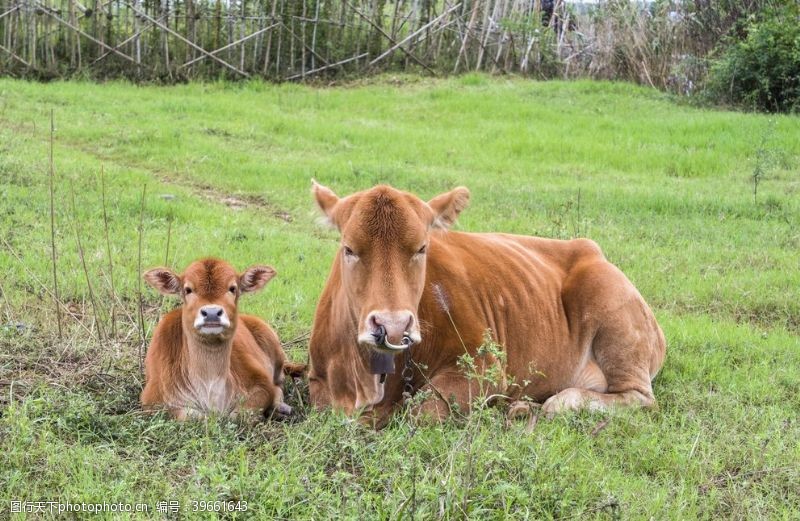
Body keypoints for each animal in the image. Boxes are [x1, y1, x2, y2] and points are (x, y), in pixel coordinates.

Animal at [141, 258, 304, 420]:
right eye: (187, 289)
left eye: (232, 288)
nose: (212, 313)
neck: (210, 385)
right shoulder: (151, 401)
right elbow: (194, 417)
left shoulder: (261, 384)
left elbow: (240, 414)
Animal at [310, 181, 664, 424]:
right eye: (349, 249)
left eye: (422, 248)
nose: (392, 326)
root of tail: (591, 250)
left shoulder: (485, 370)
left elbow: (420, 412)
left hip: (613, 308)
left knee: (639, 398)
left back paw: (555, 403)